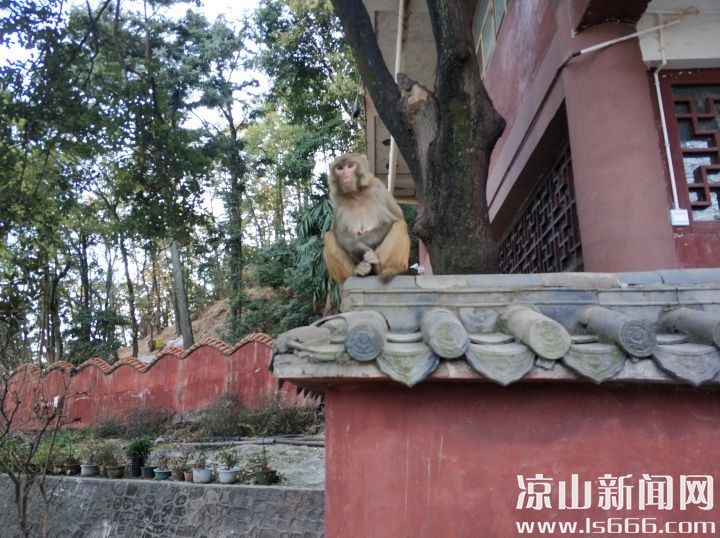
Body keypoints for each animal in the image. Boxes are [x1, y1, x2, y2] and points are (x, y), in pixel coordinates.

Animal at [322, 152, 410, 282]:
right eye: (340, 168)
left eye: (350, 166)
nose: (345, 176)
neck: (357, 195)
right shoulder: (338, 203)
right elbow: (340, 233)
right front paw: (356, 248)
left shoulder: (378, 189)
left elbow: (392, 221)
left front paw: (363, 246)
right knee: (329, 236)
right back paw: (358, 271)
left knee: (400, 225)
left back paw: (388, 269)